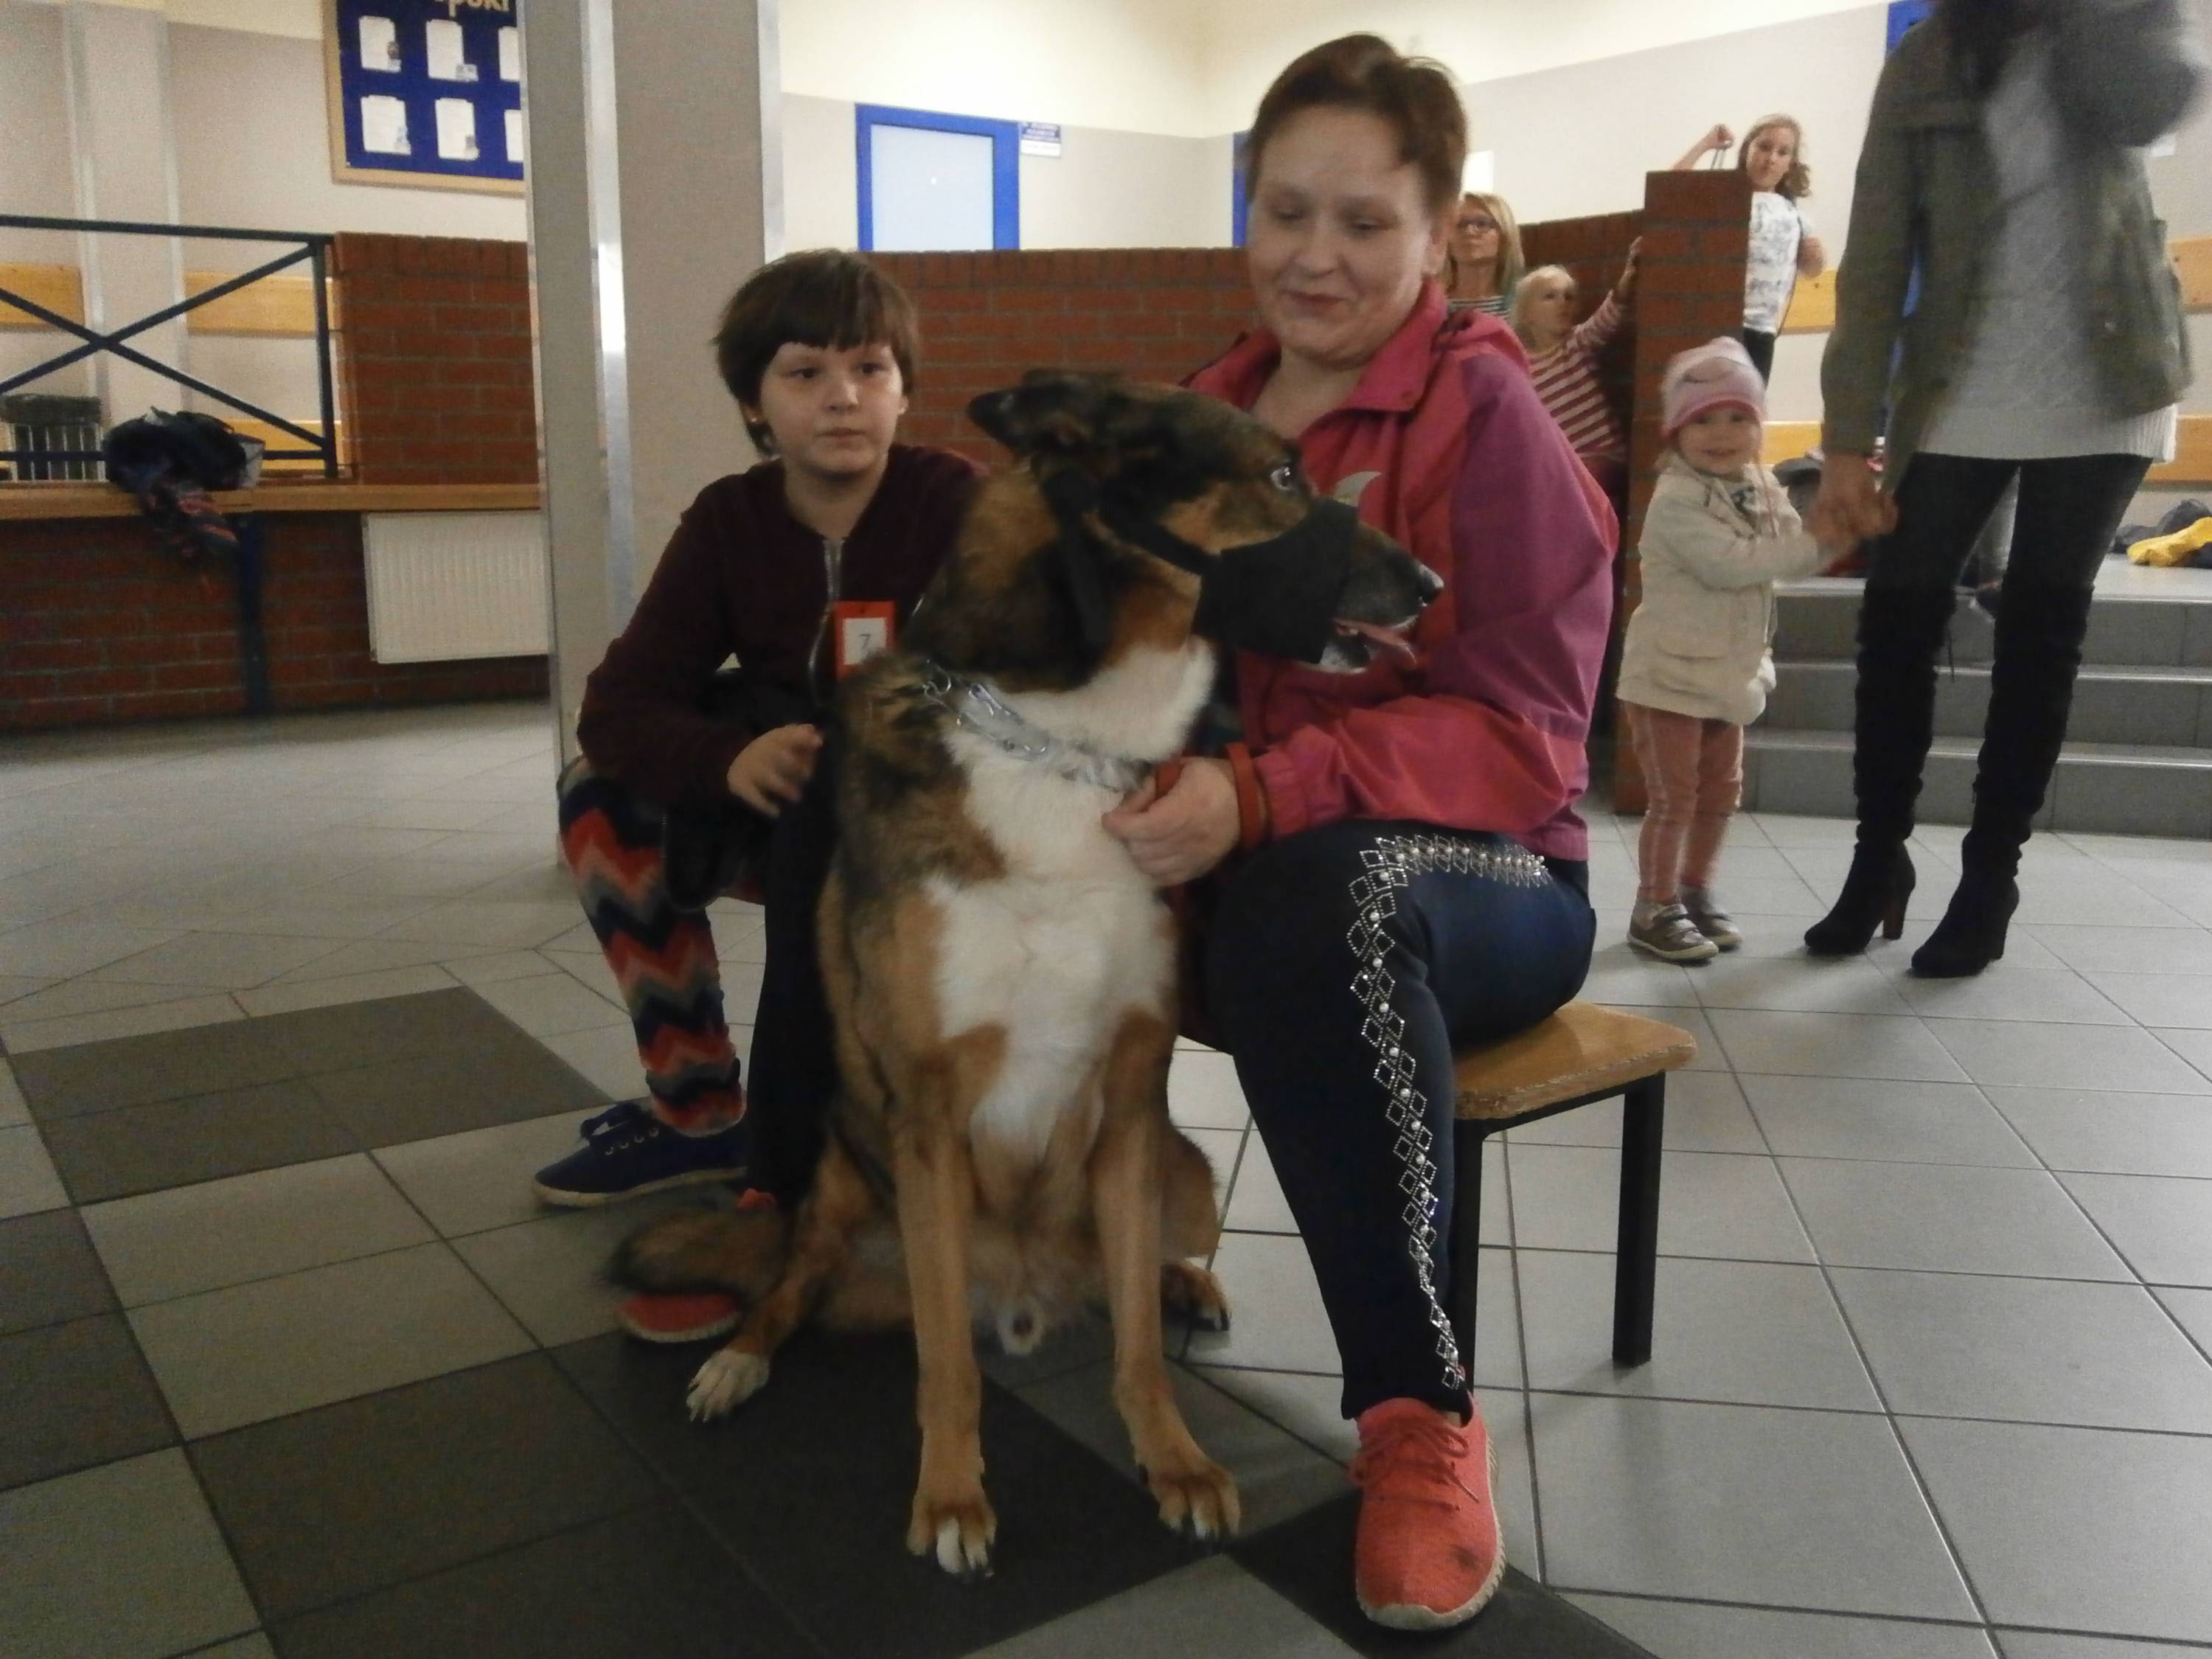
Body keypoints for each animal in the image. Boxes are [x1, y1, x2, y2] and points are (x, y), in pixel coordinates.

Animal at [617, 371, 1440, 1579]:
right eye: (1285, 474)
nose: (1433, 585)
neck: (1063, 745)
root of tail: (1025, 1292)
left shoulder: (1135, 1095)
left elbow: (1137, 1348)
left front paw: (1175, 1463)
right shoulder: (930, 1113)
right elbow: (945, 1369)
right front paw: (952, 1496)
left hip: (1183, 1173)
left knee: (1129, 1277)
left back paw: (1182, 1280)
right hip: (844, 1175)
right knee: (793, 1284)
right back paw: (738, 1360)